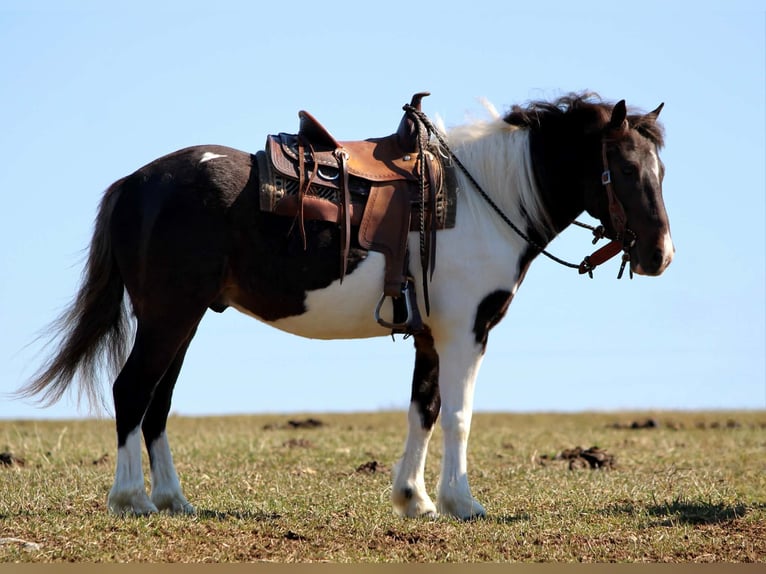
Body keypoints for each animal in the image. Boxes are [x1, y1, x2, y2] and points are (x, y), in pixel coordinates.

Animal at [18, 92, 673, 520]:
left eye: (661, 170)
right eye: (622, 168)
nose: (660, 254)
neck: (483, 200)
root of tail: (135, 183)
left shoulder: (431, 335)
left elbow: (424, 410)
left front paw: (415, 500)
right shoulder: (465, 331)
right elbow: (459, 414)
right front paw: (461, 503)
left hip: (184, 320)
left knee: (157, 402)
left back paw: (174, 500)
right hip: (167, 315)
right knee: (132, 390)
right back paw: (131, 499)